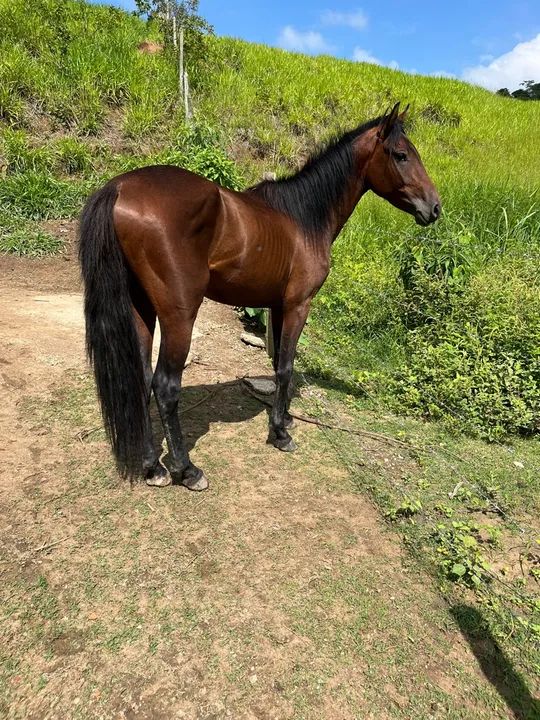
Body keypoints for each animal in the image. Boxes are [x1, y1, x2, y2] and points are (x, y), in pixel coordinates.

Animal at [79, 102, 441, 491]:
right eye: (401, 155)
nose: (434, 208)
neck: (303, 217)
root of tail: (119, 188)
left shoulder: (278, 306)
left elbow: (278, 361)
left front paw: (284, 418)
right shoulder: (298, 305)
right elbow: (285, 366)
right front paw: (280, 434)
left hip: (141, 311)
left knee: (142, 380)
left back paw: (152, 466)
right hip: (179, 316)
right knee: (164, 385)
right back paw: (186, 470)